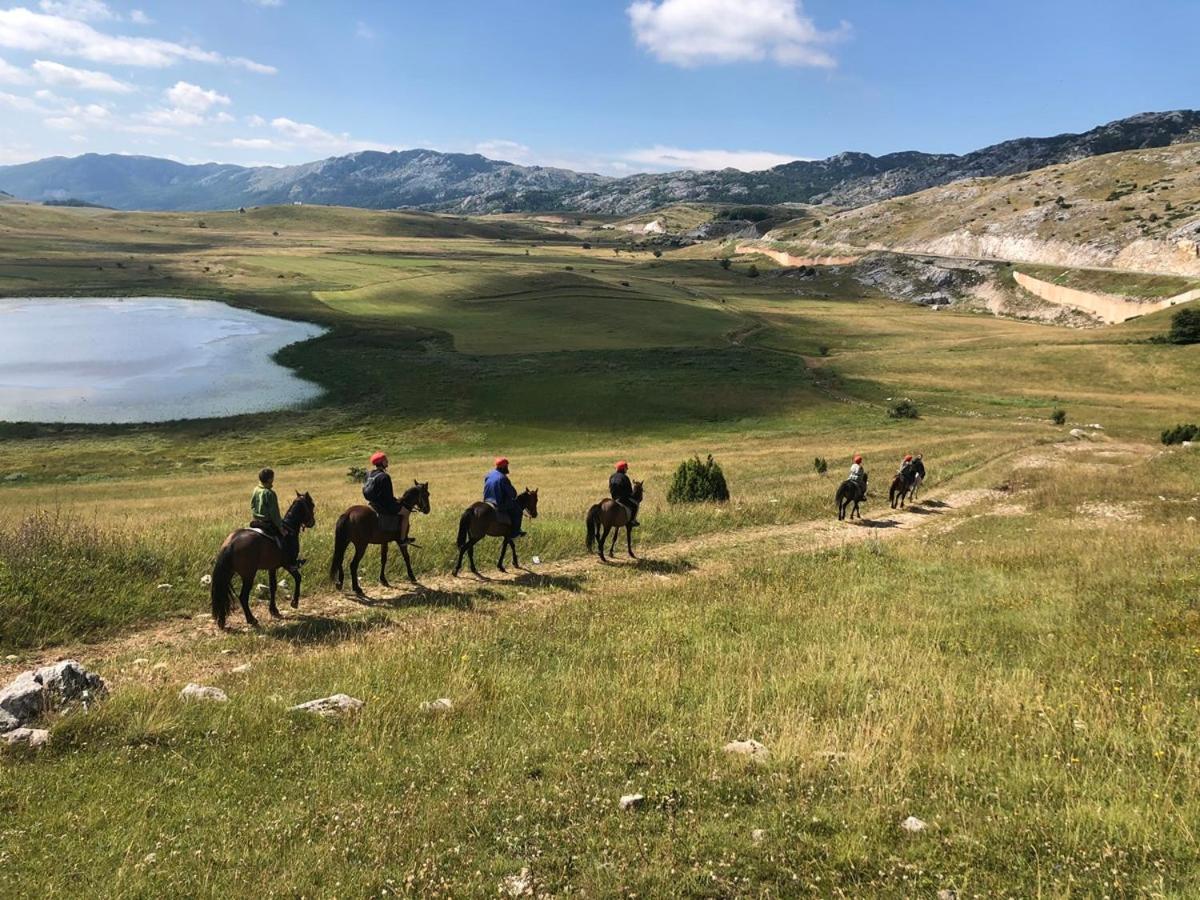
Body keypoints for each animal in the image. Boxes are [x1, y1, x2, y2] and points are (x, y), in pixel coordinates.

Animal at [211, 494, 316, 628]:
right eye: (311, 505)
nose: (312, 522)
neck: (289, 527)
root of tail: (231, 543)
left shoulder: (272, 567)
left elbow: (273, 587)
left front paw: (274, 610)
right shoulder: (288, 564)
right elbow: (298, 578)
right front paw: (294, 602)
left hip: (229, 573)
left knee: (222, 594)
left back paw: (222, 621)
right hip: (248, 575)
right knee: (243, 597)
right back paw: (251, 619)